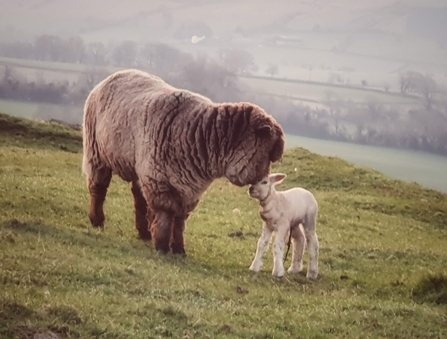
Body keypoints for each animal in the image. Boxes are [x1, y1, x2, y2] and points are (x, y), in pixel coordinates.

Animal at [82, 69, 286, 255]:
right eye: (268, 153)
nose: (262, 179)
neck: (199, 134)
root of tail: (115, 75)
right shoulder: (159, 182)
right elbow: (165, 215)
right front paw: (162, 246)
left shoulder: (189, 189)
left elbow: (180, 221)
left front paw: (179, 249)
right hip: (97, 152)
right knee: (98, 188)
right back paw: (97, 220)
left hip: (139, 167)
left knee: (138, 197)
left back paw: (143, 232)